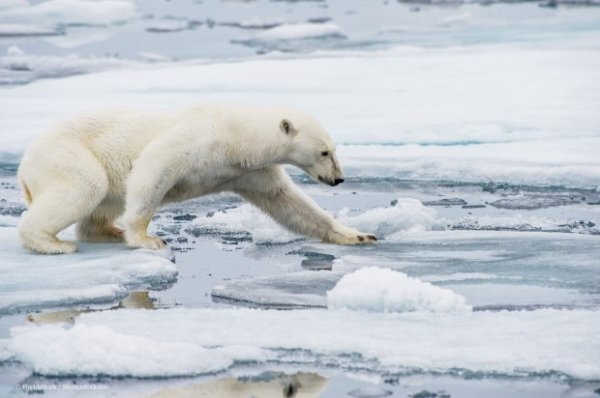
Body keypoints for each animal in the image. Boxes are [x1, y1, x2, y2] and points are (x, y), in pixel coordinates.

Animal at [17, 104, 376, 253]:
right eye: (325, 152)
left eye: (333, 149)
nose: (338, 179)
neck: (236, 136)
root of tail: (23, 170)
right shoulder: (197, 139)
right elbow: (154, 166)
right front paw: (148, 239)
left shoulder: (248, 170)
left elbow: (288, 202)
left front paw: (358, 235)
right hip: (68, 155)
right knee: (86, 185)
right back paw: (53, 244)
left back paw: (108, 231)